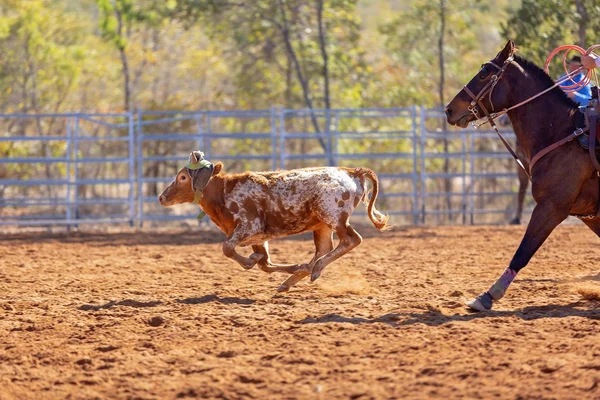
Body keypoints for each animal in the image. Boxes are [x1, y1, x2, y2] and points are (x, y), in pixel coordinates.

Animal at [442, 39, 596, 310]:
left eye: (484, 74)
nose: (449, 110)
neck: (563, 133)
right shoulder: (589, 214)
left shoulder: (551, 207)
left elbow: (523, 252)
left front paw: (487, 296)